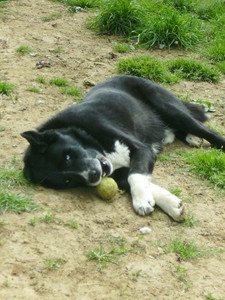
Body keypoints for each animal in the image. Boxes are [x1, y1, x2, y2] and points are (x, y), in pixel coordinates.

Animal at [21, 75, 225, 220]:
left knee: (207, 131)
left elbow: (135, 175)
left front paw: (141, 200)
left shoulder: (142, 149)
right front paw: (169, 204)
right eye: (68, 181)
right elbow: (137, 179)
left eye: (68, 156)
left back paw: (198, 136)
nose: (94, 175)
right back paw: (190, 137)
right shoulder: (116, 173)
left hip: (169, 108)